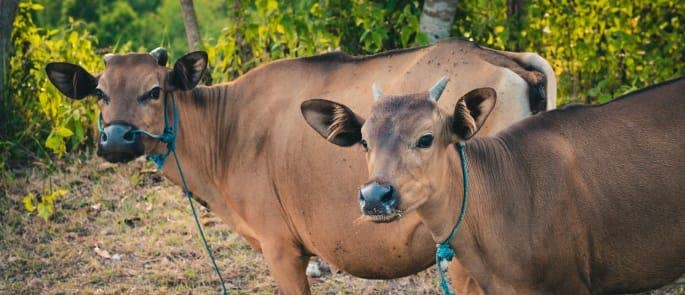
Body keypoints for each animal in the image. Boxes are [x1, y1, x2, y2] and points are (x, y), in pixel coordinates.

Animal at [44, 38, 556, 294]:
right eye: (100, 93)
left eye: (154, 91)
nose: (115, 138)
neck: (225, 130)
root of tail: (505, 59)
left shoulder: (281, 248)